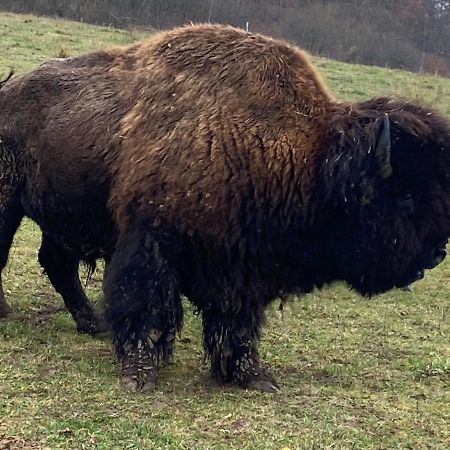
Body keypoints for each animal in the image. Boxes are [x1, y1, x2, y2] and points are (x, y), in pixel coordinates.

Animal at [0, 22, 450, 392]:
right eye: (406, 195)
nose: (436, 254)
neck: (309, 157)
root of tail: (8, 91)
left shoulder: (239, 264)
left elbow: (236, 323)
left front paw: (252, 377)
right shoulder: (150, 244)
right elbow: (146, 306)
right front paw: (139, 375)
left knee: (57, 261)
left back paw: (92, 324)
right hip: (9, 205)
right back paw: (11, 313)